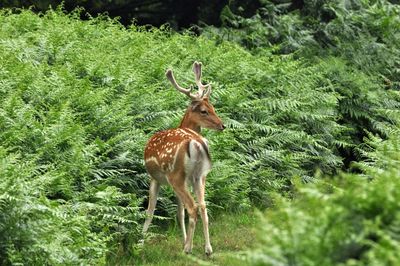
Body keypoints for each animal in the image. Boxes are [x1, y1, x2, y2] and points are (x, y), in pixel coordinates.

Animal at [143, 61, 225, 255]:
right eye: (205, 110)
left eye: (212, 108)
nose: (222, 125)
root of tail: (197, 142)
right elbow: (180, 212)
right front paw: (184, 239)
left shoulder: (154, 178)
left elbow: (150, 211)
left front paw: (139, 241)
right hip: (200, 176)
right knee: (203, 206)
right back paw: (207, 248)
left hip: (176, 175)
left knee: (192, 207)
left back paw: (188, 249)